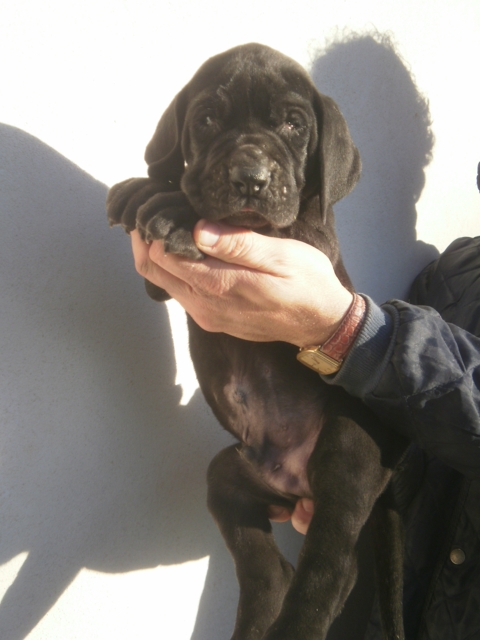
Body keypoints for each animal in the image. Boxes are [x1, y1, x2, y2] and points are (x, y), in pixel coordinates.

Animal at [107, 43, 409, 640]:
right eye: (205, 120)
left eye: (294, 124)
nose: (250, 178)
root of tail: (295, 482)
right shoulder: (160, 282)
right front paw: (146, 190)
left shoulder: (308, 238)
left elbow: (273, 226)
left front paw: (175, 210)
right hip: (229, 476)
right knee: (272, 570)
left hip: (349, 445)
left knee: (330, 568)